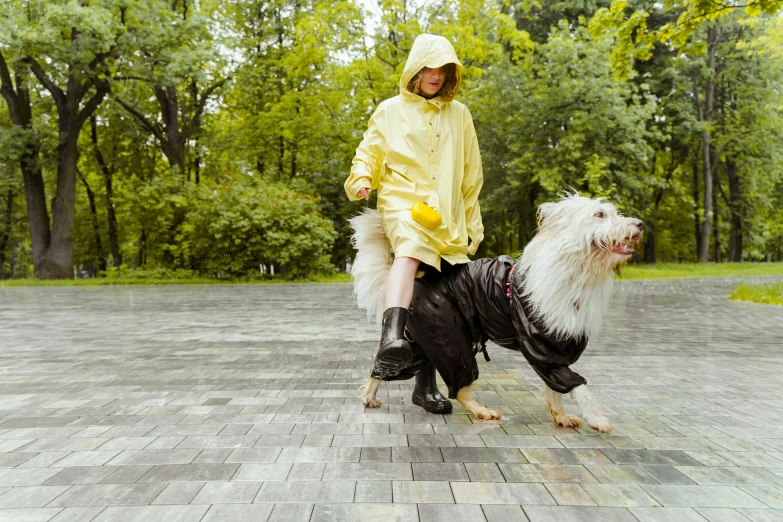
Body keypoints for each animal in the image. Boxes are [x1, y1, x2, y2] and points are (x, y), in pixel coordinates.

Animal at [350, 194, 644, 430]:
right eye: (599, 215)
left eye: (613, 212)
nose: (639, 224)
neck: (576, 271)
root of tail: (413, 280)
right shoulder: (539, 346)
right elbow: (576, 385)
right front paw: (597, 419)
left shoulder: (556, 347)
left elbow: (555, 386)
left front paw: (560, 416)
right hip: (450, 339)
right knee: (459, 385)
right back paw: (482, 410)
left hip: (429, 340)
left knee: (392, 364)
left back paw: (369, 395)